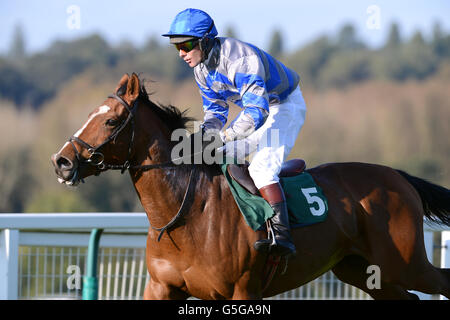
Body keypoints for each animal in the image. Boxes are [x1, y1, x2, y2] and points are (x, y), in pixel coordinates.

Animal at [51, 73, 448, 300]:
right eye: (91, 114)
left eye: (112, 121)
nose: (62, 160)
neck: (187, 213)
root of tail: (397, 175)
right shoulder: (162, 287)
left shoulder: (241, 290)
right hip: (362, 269)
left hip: (404, 262)